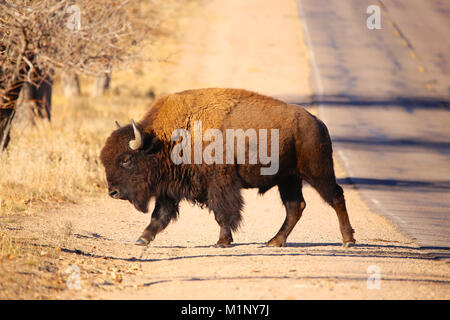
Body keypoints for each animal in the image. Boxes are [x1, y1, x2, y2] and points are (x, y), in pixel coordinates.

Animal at [99, 87, 356, 248]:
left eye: (126, 160)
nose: (113, 192)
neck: (168, 139)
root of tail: (317, 122)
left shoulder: (220, 185)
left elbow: (223, 212)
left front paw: (222, 242)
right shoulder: (170, 189)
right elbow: (159, 216)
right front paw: (142, 239)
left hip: (317, 171)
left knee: (335, 196)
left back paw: (348, 241)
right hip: (289, 179)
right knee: (295, 207)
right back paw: (274, 241)